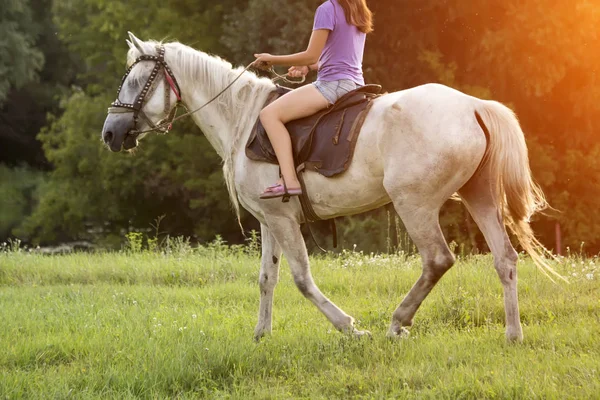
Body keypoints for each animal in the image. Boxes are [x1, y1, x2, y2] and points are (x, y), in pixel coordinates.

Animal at [101, 32, 556, 342]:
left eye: (134, 81)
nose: (109, 133)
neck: (242, 118)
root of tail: (474, 106)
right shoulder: (269, 220)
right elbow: (267, 278)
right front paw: (261, 335)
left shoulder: (285, 220)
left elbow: (302, 279)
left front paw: (350, 328)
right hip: (479, 197)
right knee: (505, 259)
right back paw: (512, 334)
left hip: (415, 205)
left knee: (438, 260)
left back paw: (397, 323)